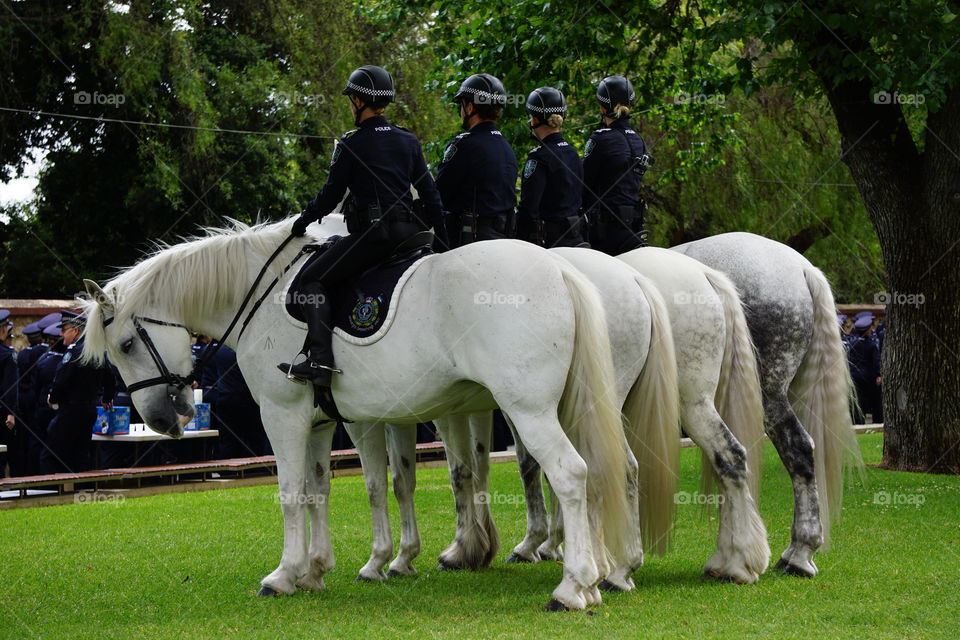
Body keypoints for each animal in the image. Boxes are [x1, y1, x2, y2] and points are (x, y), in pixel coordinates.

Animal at [80, 219, 632, 608]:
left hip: (529, 410)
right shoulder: (321, 421)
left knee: (570, 474)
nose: (161, 420)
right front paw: (314, 570)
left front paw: (282, 575)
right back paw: (604, 575)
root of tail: (560, 269)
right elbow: (318, 490)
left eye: (126, 345)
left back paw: (573, 588)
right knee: (609, 471)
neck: (265, 294)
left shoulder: (282, 416)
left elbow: (291, 494)